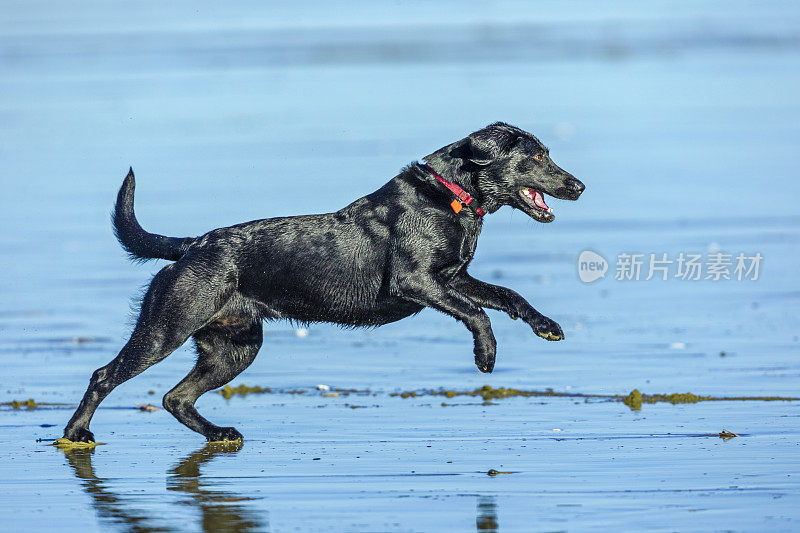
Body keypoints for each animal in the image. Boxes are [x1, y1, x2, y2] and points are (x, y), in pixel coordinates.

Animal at [62, 122, 584, 442]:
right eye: (538, 157)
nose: (579, 186)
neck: (450, 196)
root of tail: (192, 246)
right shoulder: (416, 282)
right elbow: (477, 312)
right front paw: (485, 355)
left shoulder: (456, 277)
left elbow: (506, 294)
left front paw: (547, 325)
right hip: (167, 325)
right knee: (105, 375)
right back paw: (75, 434)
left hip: (236, 347)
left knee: (176, 397)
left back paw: (219, 434)